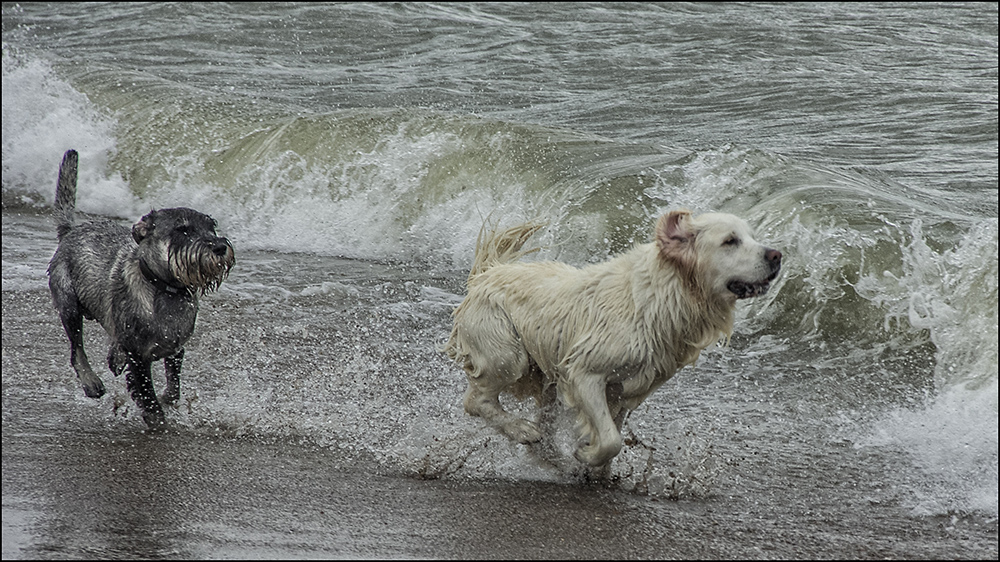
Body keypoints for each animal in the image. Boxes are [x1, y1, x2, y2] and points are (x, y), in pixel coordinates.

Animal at [47, 150, 235, 428]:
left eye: (211, 226)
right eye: (183, 229)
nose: (220, 247)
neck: (166, 290)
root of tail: (71, 231)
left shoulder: (175, 348)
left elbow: (173, 383)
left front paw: (168, 398)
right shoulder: (138, 355)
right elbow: (146, 392)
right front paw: (156, 417)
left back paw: (114, 357)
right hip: (68, 304)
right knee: (76, 348)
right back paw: (91, 382)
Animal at [444, 208, 780, 466]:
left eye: (751, 236)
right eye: (730, 241)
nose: (777, 255)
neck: (662, 295)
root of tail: (485, 274)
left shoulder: (625, 389)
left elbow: (614, 429)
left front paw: (596, 473)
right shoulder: (584, 373)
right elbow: (610, 440)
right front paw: (587, 454)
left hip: (542, 374)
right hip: (507, 353)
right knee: (475, 401)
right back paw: (522, 430)